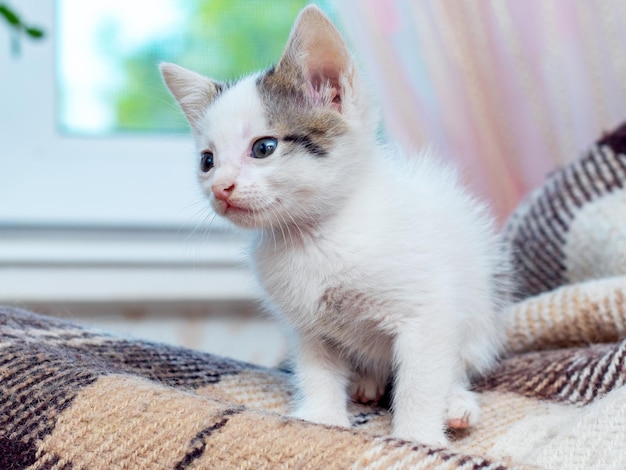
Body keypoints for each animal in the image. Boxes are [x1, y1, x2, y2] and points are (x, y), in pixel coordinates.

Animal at [160, 5, 508, 446]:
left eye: (264, 148)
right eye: (207, 161)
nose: (220, 188)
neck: (316, 236)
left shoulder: (427, 311)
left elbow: (421, 378)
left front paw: (418, 437)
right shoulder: (305, 322)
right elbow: (317, 369)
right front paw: (322, 419)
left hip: (479, 313)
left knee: (457, 363)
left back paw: (456, 403)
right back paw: (367, 382)